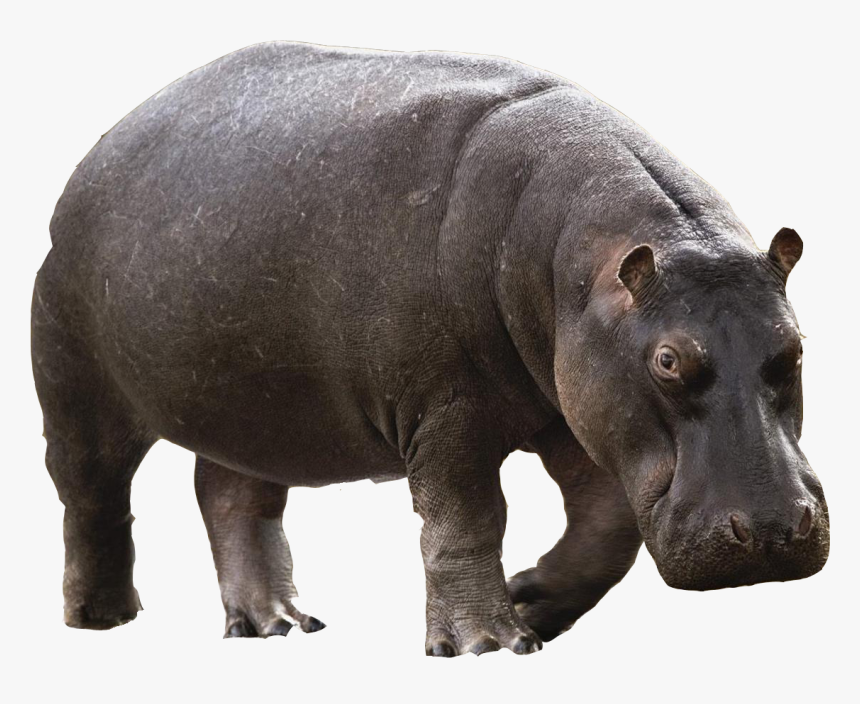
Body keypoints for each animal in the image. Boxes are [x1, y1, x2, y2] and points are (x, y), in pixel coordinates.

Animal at [31, 41, 829, 657]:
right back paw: (102, 618)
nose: (770, 530)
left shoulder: (575, 408)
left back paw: (277, 626)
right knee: (93, 496)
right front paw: (487, 644)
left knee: (232, 498)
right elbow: (468, 518)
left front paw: (530, 602)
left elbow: (606, 527)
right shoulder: (447, 412)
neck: (581, 264)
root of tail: (99, 149)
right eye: (668, 361)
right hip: (78, 387)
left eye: (795, 347)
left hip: (251, 406)